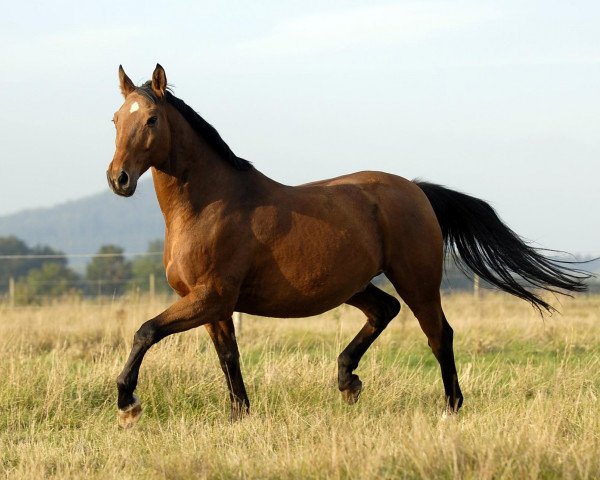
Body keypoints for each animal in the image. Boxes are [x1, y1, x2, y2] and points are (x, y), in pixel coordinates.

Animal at [105, 63, 588, 428]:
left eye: (150, 120)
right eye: (115, 120)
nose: (119, 179)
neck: (210, 204)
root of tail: (416, 189)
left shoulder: (211, 297)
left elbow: (146, 330)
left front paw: (128, 404)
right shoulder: (212, 305)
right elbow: (228, 358)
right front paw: (239, 415)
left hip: (416, 279)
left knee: (439, 334)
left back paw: (450, 408)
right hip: (353, 284)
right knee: (385, 311)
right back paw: (347, 381)